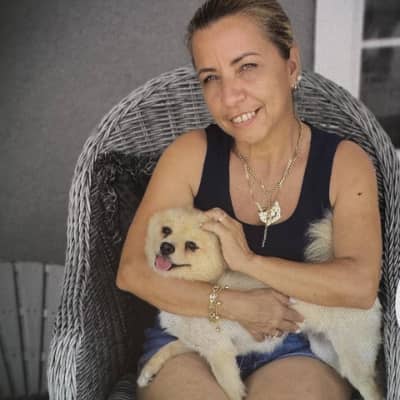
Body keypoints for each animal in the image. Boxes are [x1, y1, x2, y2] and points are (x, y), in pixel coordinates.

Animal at [137, 207, 382, 400]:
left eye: (191, 245)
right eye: (166, 230)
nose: (166, 247)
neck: (202, 284)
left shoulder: (221, 354)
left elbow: (230, 390)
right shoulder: (198, 343)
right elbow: (166, 349)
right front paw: (147, 373)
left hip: (354, 357)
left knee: (373, 389)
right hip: (326, 350)